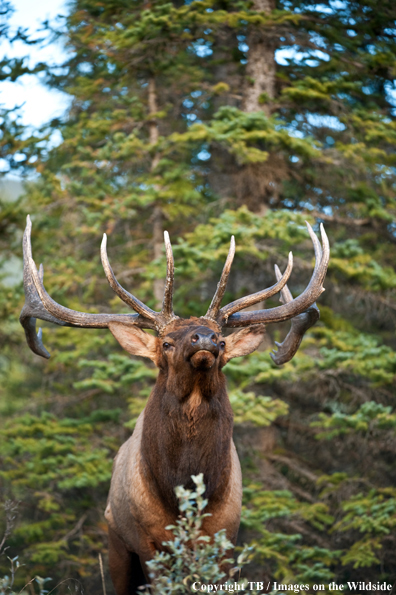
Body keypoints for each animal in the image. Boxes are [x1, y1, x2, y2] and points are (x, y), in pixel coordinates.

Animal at [20, 217, 330, 592]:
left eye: (221, 341)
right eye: (166, 342)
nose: (204, 338)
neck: (186, 491)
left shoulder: (225, 538)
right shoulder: (147, 541)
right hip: (116, 542)